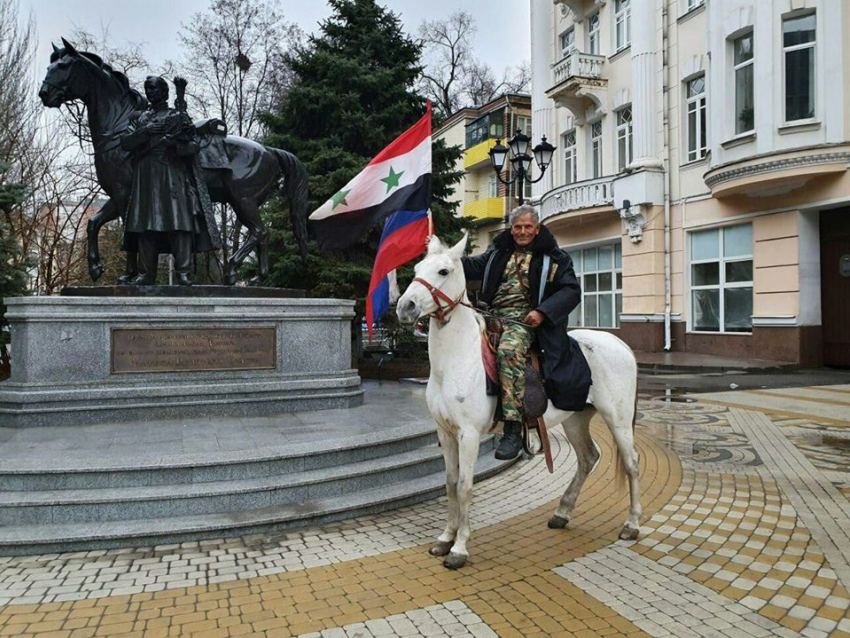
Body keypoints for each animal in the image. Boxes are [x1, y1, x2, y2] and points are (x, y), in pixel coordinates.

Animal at [398, 234, 644, 568]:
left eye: (444, 271)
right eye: (417, 268)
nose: (405, 307)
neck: (455, 361)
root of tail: (620, 344)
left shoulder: (468, 434)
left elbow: (464, 487)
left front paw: (460, 548)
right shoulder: (445, 432)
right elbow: (449, 483)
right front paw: (445, 538)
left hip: (617, 418)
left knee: (631, 463)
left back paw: (632, 524)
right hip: (576, 418)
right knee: (588, 458)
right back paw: (562, 513)